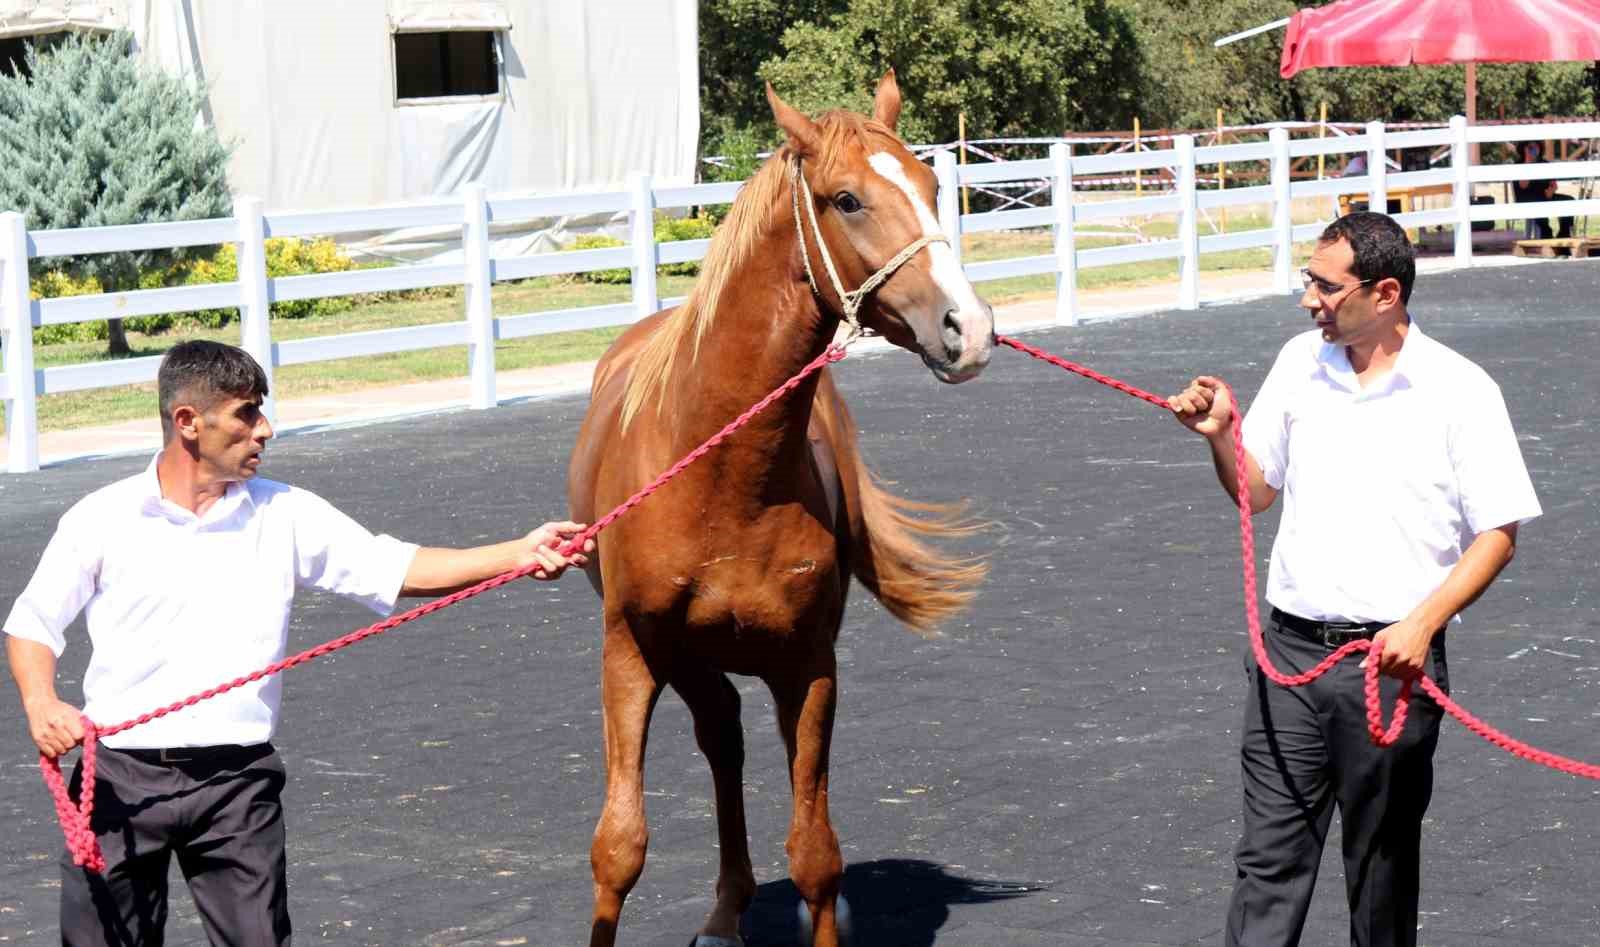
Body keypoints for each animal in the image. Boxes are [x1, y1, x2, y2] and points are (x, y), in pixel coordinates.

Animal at [563, 73, 985, 947]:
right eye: (847, 199)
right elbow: (618, 847)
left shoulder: (809, 662)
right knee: (722, 740)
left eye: (932, 188)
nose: (969, 328)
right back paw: (727, 911)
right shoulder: (632, 651)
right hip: (688, 660)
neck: (722, 475)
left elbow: (816, 851)